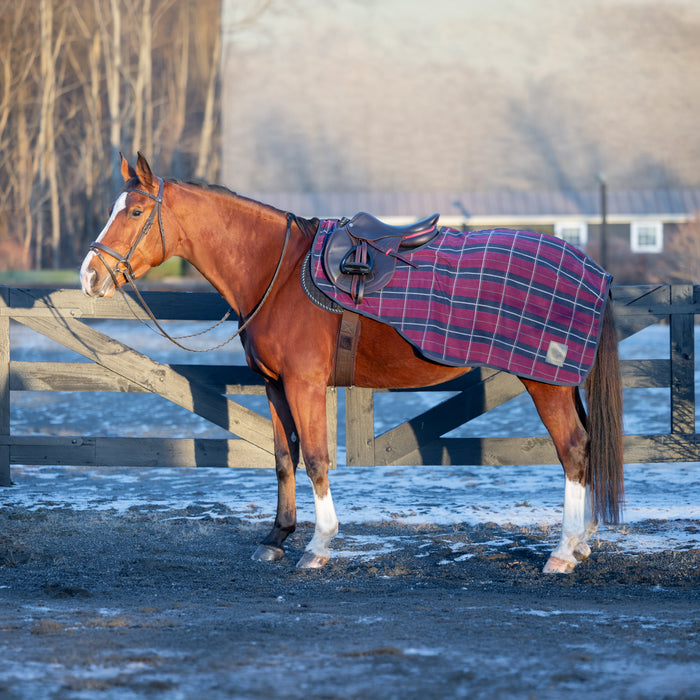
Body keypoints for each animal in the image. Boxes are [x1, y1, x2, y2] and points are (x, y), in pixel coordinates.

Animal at [80, 153, 624, 574]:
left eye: (134, 211)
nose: (89, 276)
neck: (277, 272)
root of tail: (594, 269)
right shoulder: (275, 386)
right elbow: (284, 459)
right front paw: (276, 538)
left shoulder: (305, 384)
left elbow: (317, 459)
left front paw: (318, 545)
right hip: (562, 382)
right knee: (585, 448)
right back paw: (581, 543)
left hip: (545, 381)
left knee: (573, 450)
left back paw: (562, 552)